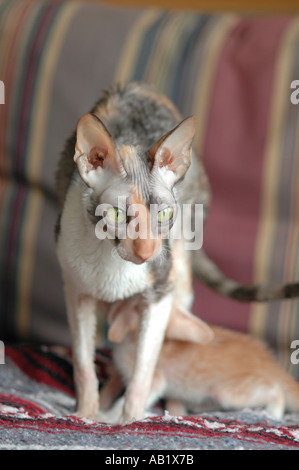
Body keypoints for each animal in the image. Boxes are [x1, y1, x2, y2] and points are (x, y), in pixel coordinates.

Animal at [99, 302, 299, 424]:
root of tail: (268, 361)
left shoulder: (153, 379)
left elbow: (129, 399)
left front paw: (110, 416)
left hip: (228, 391)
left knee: (275, 389)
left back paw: (274, 412)